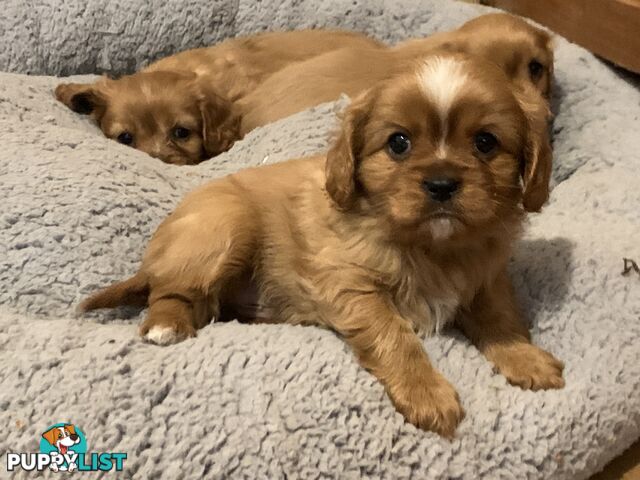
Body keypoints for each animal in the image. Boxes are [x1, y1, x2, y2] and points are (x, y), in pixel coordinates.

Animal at [81, 53, 564, 438]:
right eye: (399, 143)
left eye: (485, 142)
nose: (442, 183)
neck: (434, 247)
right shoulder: (351, 285)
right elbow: (396, 337)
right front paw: (427, 393)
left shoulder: (488, 276)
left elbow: (500, 317)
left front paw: (526, 358)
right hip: (224, 228)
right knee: (170, 290)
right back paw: (166, 326)